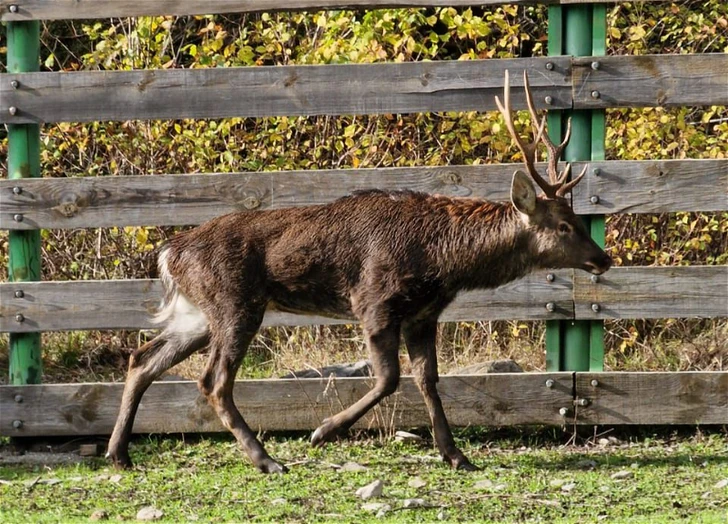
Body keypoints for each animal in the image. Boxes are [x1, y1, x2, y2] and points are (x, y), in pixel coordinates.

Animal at [107, 70, 612, 473]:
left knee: (142, 359)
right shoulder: (374, 300)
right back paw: (267, 459)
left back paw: (119, 453)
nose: (603, 259)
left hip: (197, 314)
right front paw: (323, 431)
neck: (443, 264)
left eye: (577, 217)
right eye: (564, 224)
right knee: (212, 381)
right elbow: (388, 378)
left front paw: (457, 456)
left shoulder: (423, 315)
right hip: (235, 303)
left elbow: (428, 381)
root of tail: (169, 253)